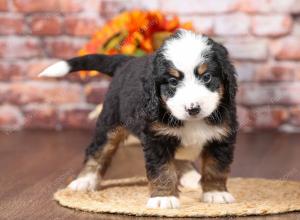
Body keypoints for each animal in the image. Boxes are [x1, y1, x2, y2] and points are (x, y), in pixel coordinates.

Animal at [39, 29, 238, 210]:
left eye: (207, 77)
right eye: (173, 82)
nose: (193, 108)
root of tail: (127, 62)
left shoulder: (222, 136)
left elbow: (216, 167)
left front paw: (215, 193)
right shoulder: (156, 137)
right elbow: (162, 169)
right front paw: (164, 197)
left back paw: (191, 177)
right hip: (110, 122)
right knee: (97, 151)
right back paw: (85, 180)